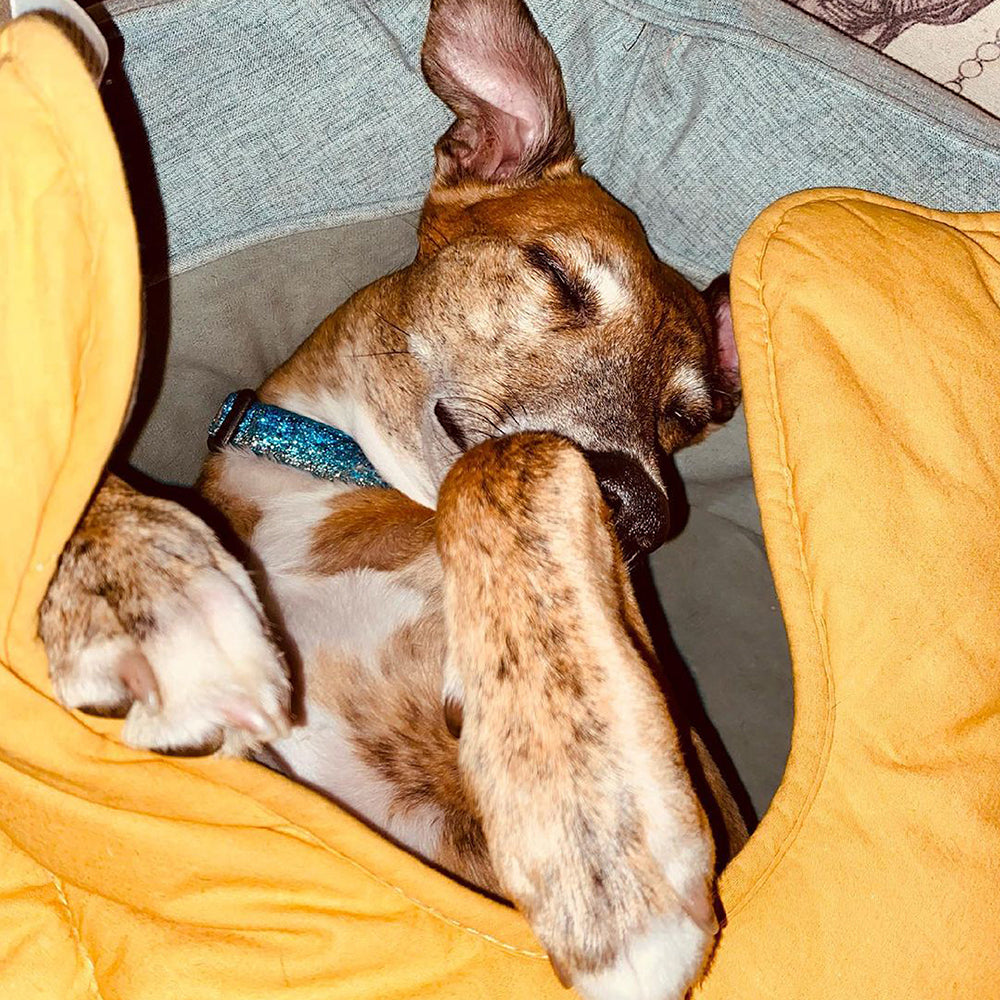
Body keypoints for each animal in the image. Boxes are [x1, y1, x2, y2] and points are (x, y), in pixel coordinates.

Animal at [41, 3, 744, 996]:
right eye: (557, 274)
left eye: (685, 415)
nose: (641, 512)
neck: (333, 474)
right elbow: (86, 472)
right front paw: (150, 599)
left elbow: (507, 466)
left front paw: (603, 858)